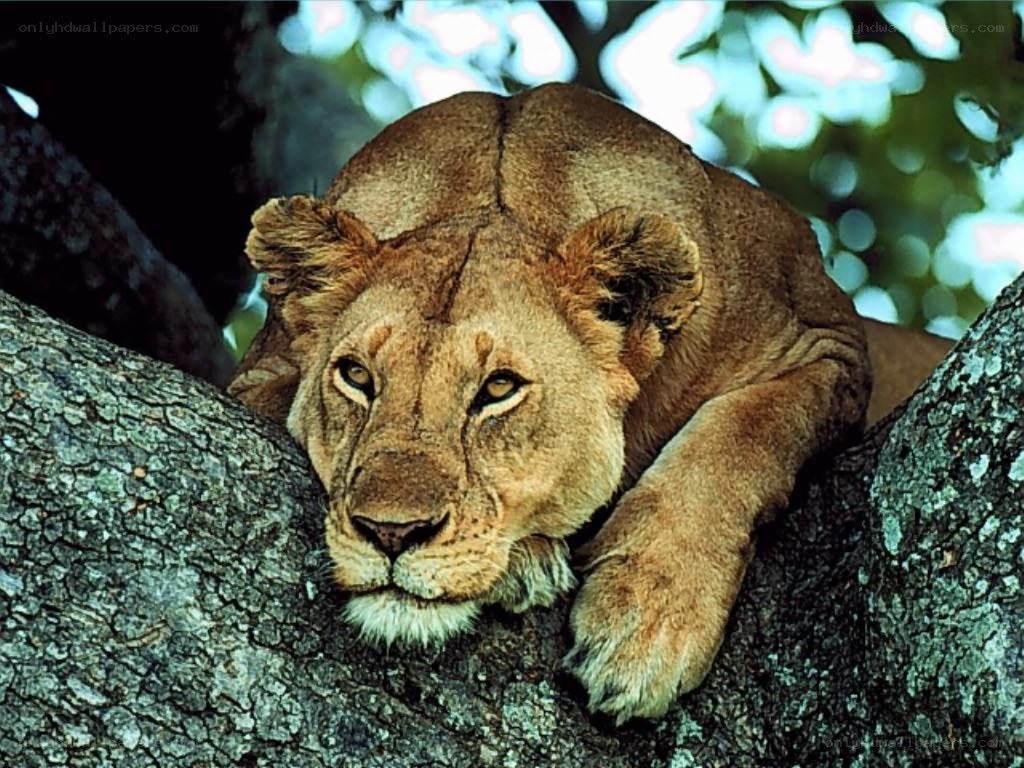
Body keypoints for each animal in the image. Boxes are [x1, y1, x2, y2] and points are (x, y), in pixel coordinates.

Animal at [228, 83, 951, 723]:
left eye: (497, 389)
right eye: (356, 376)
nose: (390, 534)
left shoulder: (829, 344)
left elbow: (738, 436)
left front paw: (645, 625)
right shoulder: (259, 372)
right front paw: (528, 564)